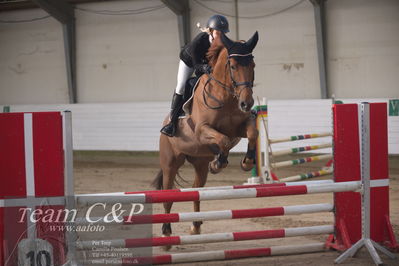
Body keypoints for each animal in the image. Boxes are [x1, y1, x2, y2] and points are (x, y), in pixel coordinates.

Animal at [152, 32, 260, 250]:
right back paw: (166, 235)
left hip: (199, 163)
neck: (226, 96)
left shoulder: (240, 128)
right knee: (168, 197)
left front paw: (246, 162)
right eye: (233, 66)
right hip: (170, 163)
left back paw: (195, 226)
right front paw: (219, 162)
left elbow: (252, 133)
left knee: (196, 190)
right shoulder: (202, 130)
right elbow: (223, 140)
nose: (247, 103)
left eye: (252, 65)